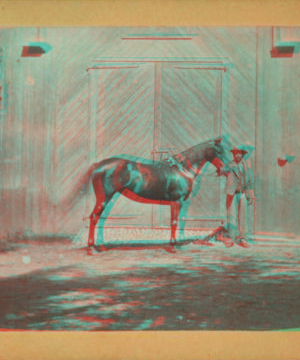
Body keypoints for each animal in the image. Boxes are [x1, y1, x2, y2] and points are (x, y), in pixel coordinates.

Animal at [67, 136, 227, 246]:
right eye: (220, 151)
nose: (227, 169)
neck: (182, 169)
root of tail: (98, 164)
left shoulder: (178, 203)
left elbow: (179, 221)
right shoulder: (178, 201)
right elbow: (176, 221)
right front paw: (175, 242)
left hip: (111, 197)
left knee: (101, 217)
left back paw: (100, 241)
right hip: (105, 197)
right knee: (94, 216)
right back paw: (91, 243)